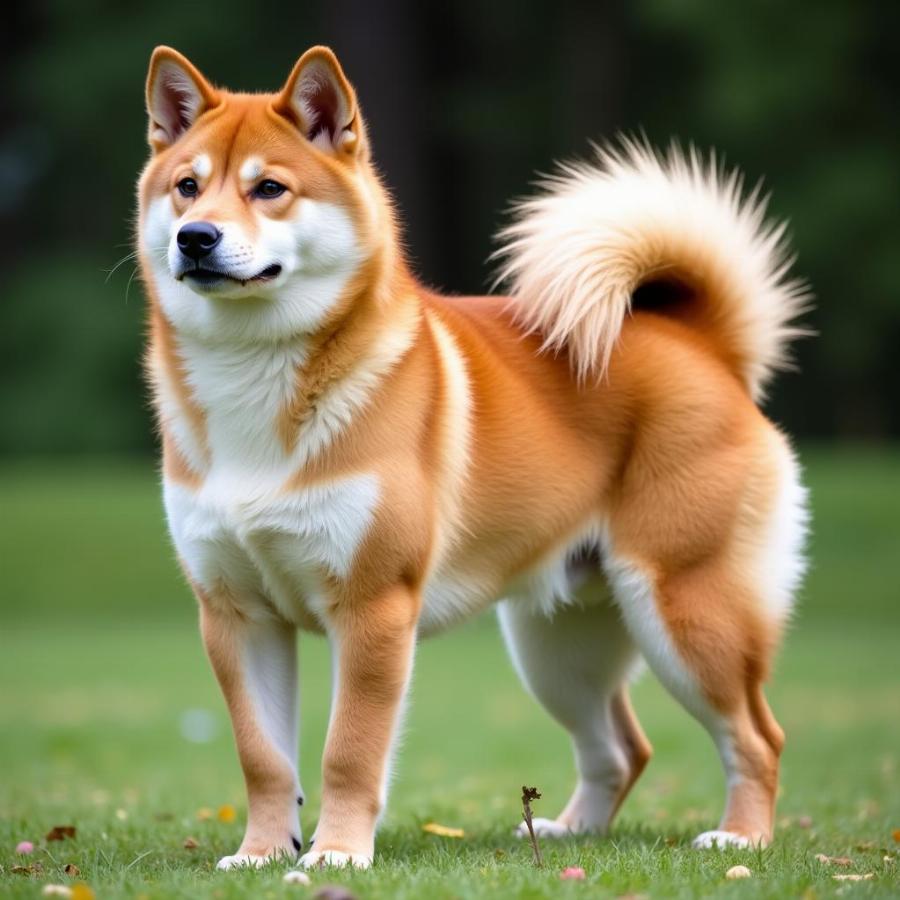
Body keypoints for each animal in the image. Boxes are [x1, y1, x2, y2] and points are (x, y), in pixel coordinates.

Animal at [139, 44, 808, 872]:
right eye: (187, 186)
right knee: (623, 747)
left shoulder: (374, 610)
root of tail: (703, 345)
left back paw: (740, 837)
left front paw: (334, 855)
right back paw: (571, 836)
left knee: (757, 736)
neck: (252, 382)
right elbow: (264, 758)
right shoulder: (236, 615)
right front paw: (263, 854)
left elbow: (348, 751)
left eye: (270, 189)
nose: (195, 237)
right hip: (557, 646)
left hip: (687, 612)